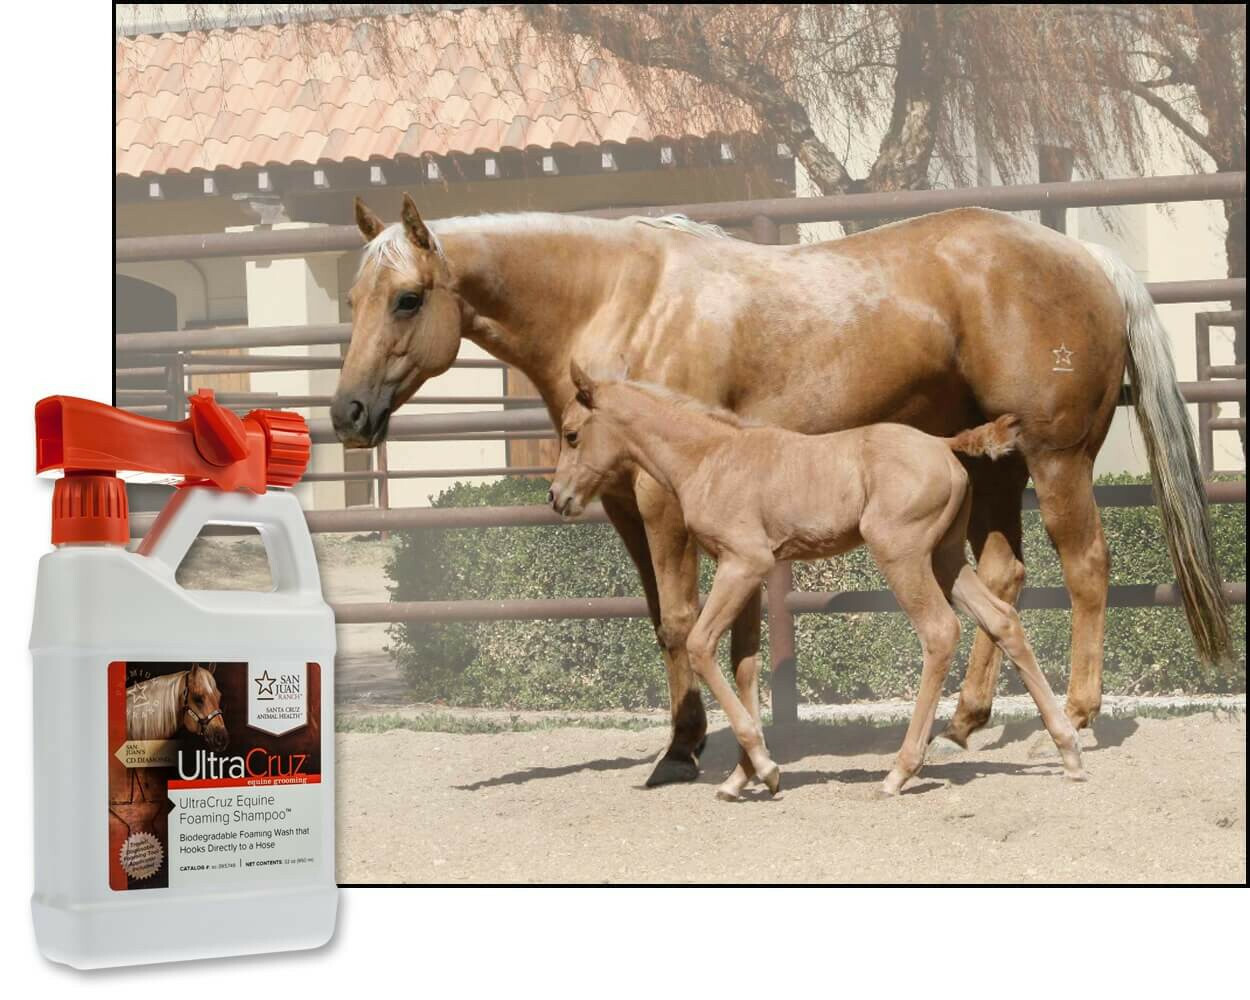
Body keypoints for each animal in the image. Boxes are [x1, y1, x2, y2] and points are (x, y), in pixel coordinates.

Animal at [549, 364, 1086, 798]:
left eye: (572, 434)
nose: (557, 497)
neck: (710, 457)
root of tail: (942, 443)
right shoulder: (747, 571)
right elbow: (745, 664)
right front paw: (742, 777)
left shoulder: (743, 564)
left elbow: (701, 646)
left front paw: (765, 769)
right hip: (946, 558)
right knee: (1003, 619)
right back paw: (1068, 751)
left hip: (903, 555)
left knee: (939, 632)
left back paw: (900, 771)